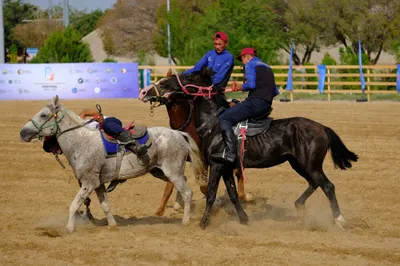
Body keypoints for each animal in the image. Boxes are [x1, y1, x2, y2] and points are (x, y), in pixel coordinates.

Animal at [18, 96, 206, 233]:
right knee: (183, 184)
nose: (23, 132)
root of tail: (179, 134)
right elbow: (105, 205)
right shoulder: (99, 184)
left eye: (43, 115)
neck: (81, 141)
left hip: (171, 171)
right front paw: (112, 225)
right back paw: (177, 206)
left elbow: (74, 205)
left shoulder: (89, 183)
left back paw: (185, 221)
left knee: (188, 192)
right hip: (160, 172)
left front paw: (69, 228)